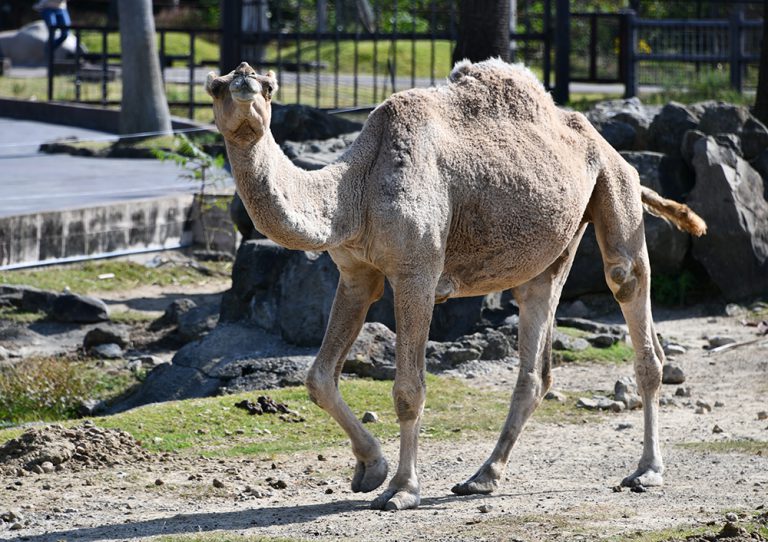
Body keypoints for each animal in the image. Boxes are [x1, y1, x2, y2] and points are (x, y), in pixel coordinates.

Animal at [206, 60, 708, 516]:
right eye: (217, 86)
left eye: (269, 87)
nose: (246, 86)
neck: (356, 188)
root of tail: (607, 145)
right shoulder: (356, 275)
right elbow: (318, 378)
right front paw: (370, 469)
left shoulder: (418, 271)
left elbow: (408, 389)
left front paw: (402, 490)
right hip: (554, 246)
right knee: (536, 357)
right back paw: (482, 477)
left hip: (615, 187)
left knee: (630, 296)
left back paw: (646, 471)